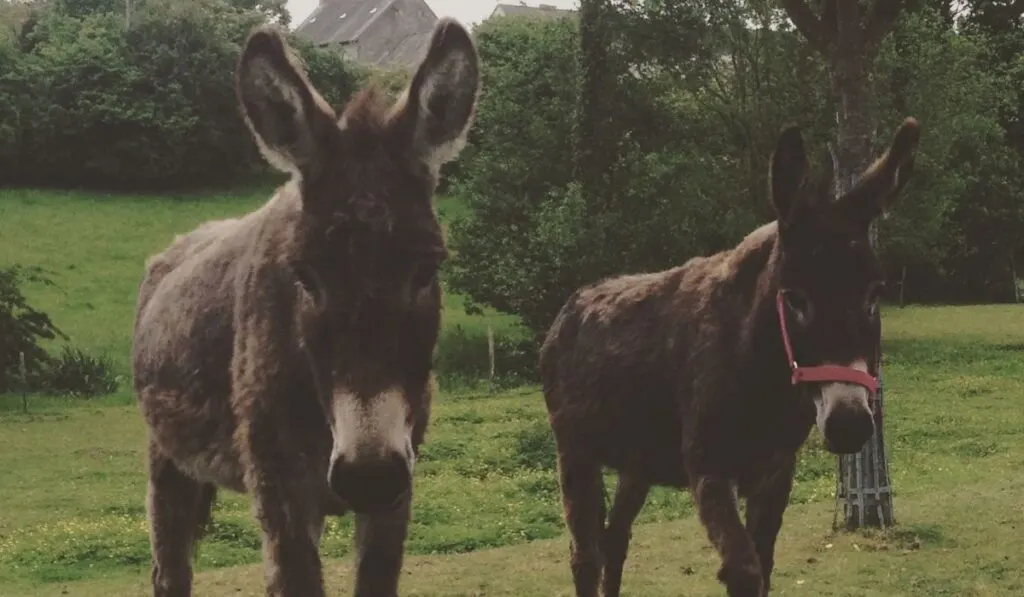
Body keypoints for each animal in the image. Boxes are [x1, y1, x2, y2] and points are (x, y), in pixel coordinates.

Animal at [131, 18, 480, 597]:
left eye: (427, 270)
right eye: (305, 277)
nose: (367, 477)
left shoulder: (397, 488)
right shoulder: (282, 488)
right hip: (167, 460)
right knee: (169, 570)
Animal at [539, 118, 920, 597]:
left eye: (875, 294)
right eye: (795, 298)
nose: (850, 426)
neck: (761, 371)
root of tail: (570, 306)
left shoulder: (774, 473)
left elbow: (764, 566)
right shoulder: (709, 467)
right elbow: (743, 569)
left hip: (637, 461)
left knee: (615, 539)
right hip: (575, 451)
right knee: (584, 555)